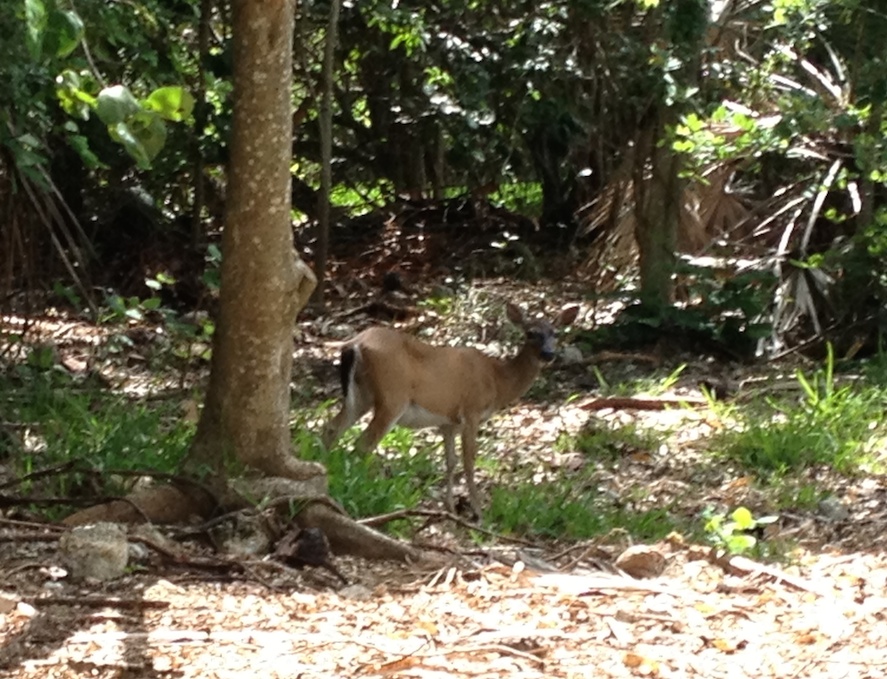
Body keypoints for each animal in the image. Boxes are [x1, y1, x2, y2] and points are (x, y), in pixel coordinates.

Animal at [321, 302, 580, 518]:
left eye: (555, 333)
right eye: (530, 333)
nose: (548, 354)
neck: (498, 379)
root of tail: (354, 343)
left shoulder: (448, 421)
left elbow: (451, 461)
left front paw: (450, 507)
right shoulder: (472, 411)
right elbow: (468, 460)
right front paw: (477, 510)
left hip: (361, 395)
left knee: (332, 427)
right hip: (392, 397)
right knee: (363, 443)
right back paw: (361, 486)